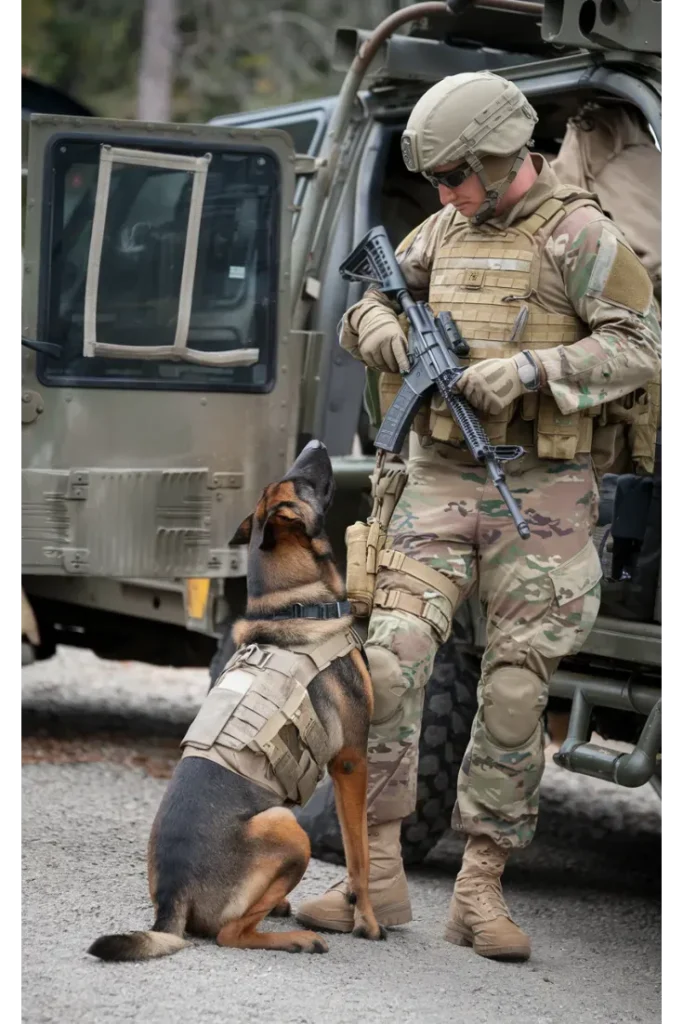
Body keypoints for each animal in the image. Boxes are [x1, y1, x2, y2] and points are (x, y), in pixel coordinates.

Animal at [87, 440, 385, 958]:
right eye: (301, 482)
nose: (316, 443)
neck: (293, 603)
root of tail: (172, 899)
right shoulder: (351, 762)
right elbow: (359, 856)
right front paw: (366, 920)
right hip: (287, 827)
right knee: (230, 934)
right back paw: (296, 938)